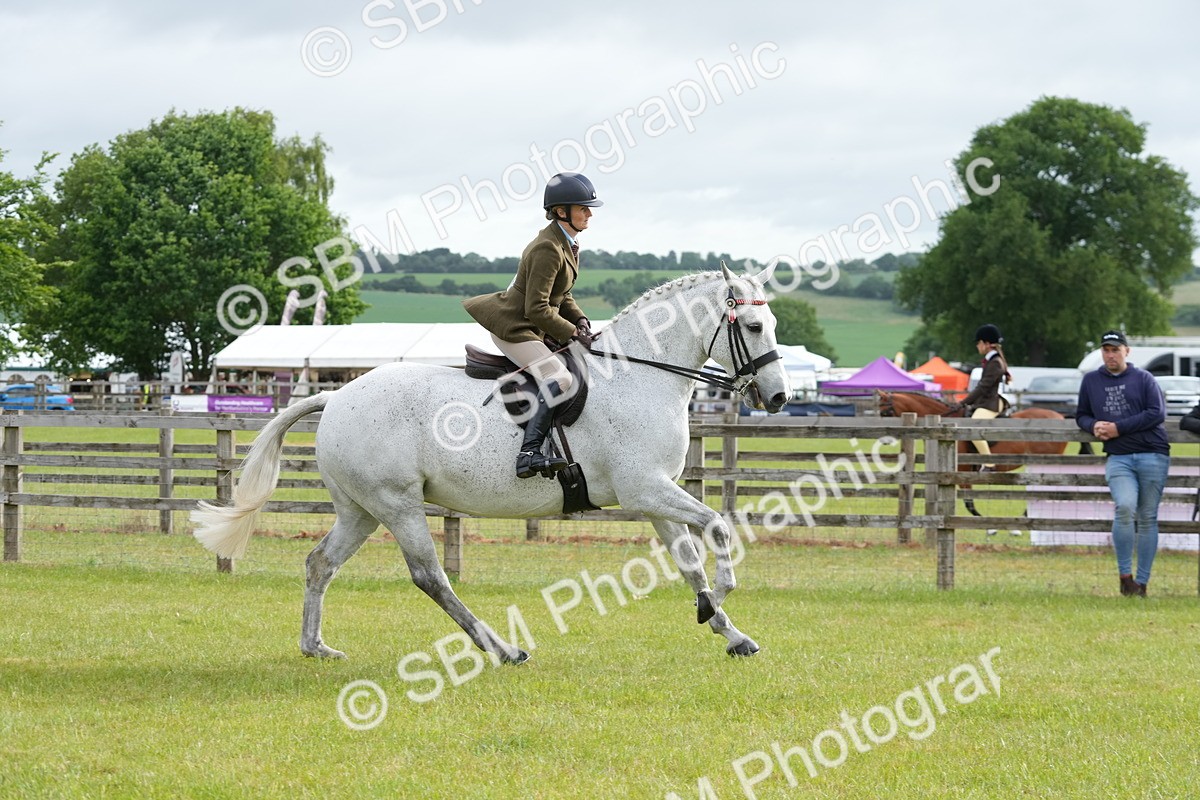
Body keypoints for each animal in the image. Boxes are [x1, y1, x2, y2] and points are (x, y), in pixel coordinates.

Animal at [192, 264, 791, 661]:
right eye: (753, 328)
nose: (779, 397)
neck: (640, 374)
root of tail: (335, 397)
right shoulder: (644, 489)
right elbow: (718, 527)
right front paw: (722, 595)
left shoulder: (656, 496)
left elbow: (689, 560)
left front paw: (727, 629)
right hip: (397, 504)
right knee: (430, 576)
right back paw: (501, 648)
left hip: (359, 510)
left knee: (320, 563)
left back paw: (316, 646)